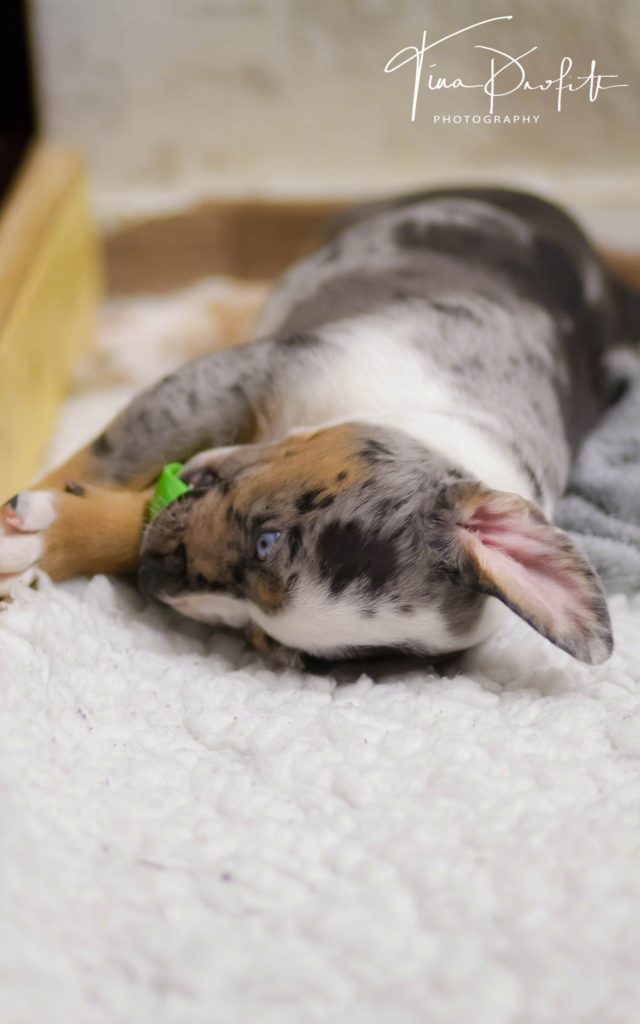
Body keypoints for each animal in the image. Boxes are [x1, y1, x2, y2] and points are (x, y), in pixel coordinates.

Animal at [1, 187, 634, 669]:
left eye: (258, 637)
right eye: (268, 539)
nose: (154, 576)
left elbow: (132, 515)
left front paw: (42, 543)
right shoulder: (238, 377)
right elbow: (106, 459)